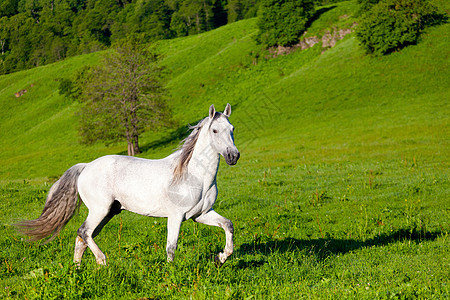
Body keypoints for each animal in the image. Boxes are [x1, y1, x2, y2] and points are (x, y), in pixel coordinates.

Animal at [16, 104, 239, 266]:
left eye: (232, 129)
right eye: (215, 130)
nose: (233, 156)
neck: (194, 176)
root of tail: (86, 166)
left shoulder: (201, 214)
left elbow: (228, 225)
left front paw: (221, 257)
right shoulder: (176, 216)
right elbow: (171, 247)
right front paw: (171, 273)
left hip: (108, 213)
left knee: (82, 238)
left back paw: (78, 270)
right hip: (99, 210)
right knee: (84, 232)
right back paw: (102, 261)